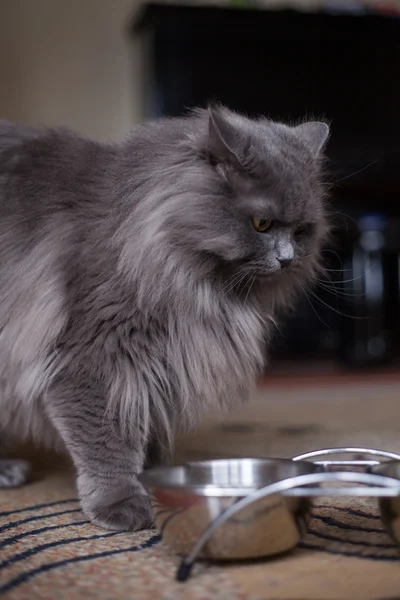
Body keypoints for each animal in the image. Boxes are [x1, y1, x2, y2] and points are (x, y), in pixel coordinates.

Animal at [0, 106, 330, 528]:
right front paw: (121, 502)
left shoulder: (159, 362)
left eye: (302, 230)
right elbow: (107, 442)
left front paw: (155, 477)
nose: (287, 259)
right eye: (262, 224)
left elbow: (144, 431)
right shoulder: (90, 363)